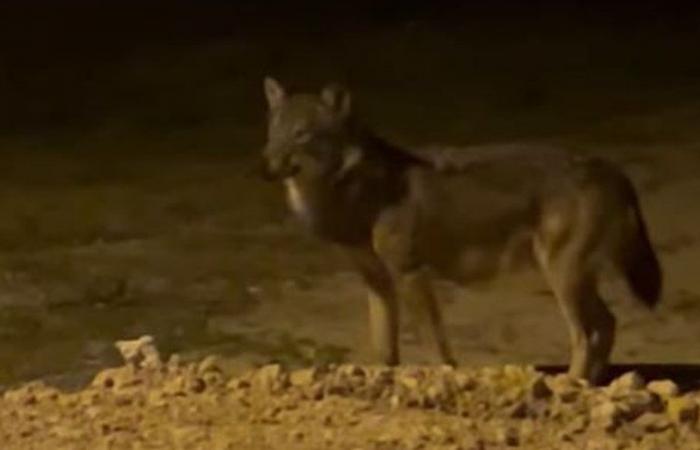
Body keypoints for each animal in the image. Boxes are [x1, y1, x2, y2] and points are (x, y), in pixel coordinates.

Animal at [262, 77, 660, 384]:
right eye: (272, 135)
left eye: (301, 135)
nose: (265, 168)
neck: (354, 193)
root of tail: (610, 168)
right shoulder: (377, 281)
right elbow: (384, 348)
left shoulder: (411, 273)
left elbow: (434, 342)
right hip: (574, 278)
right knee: (607, 324)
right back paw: (591, 384)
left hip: (562, 278)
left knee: (585, 335)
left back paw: (572, 383)